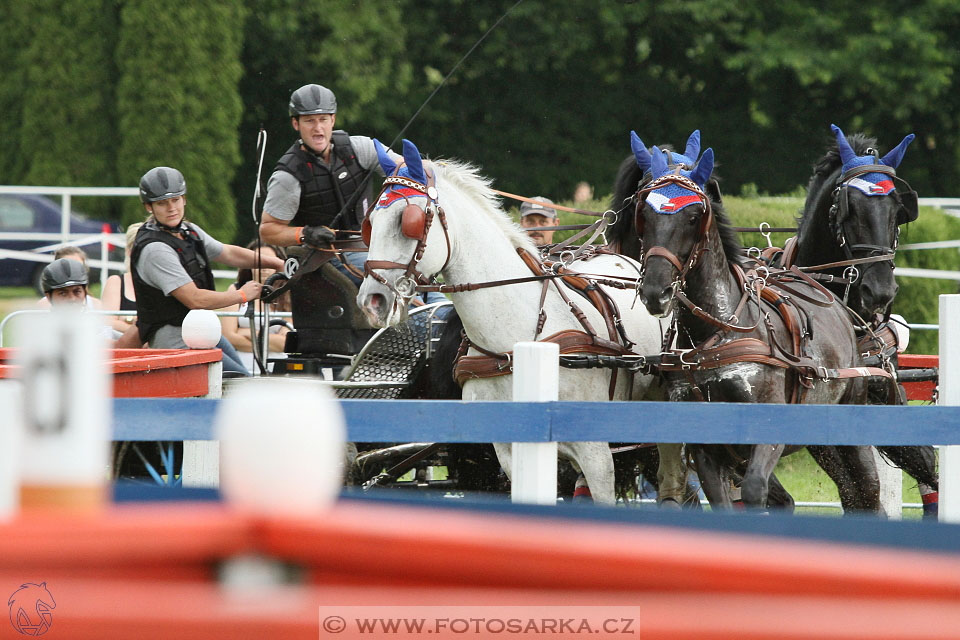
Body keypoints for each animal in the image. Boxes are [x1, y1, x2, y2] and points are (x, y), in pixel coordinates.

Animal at [354, 139, 676, 504]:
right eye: (369, 222)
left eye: (407, 220)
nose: (372, 300)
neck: (514, 340)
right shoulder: (505, 450)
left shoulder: (596, 453)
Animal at [616, 132, 884, 512]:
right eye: (644, 212)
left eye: (694, 215)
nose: (656, 290)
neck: (717, 332)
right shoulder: (707, 450)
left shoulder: (766, 433)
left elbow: (756, 490)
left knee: (868, 491)